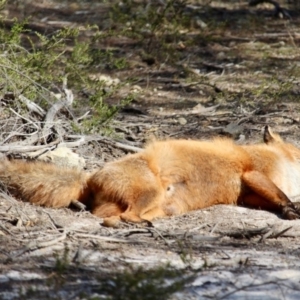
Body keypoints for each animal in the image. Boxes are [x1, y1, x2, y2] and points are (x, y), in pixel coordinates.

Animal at [0, 125, 300, 226]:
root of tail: (90, 176)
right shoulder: (253, 173)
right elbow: (281, 195)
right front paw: (291, 209)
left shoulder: (248, 195)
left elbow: (273, 199)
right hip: (151, 193)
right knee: (123, 216)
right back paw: (136, 225)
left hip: (158, 206)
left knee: (107, 216)